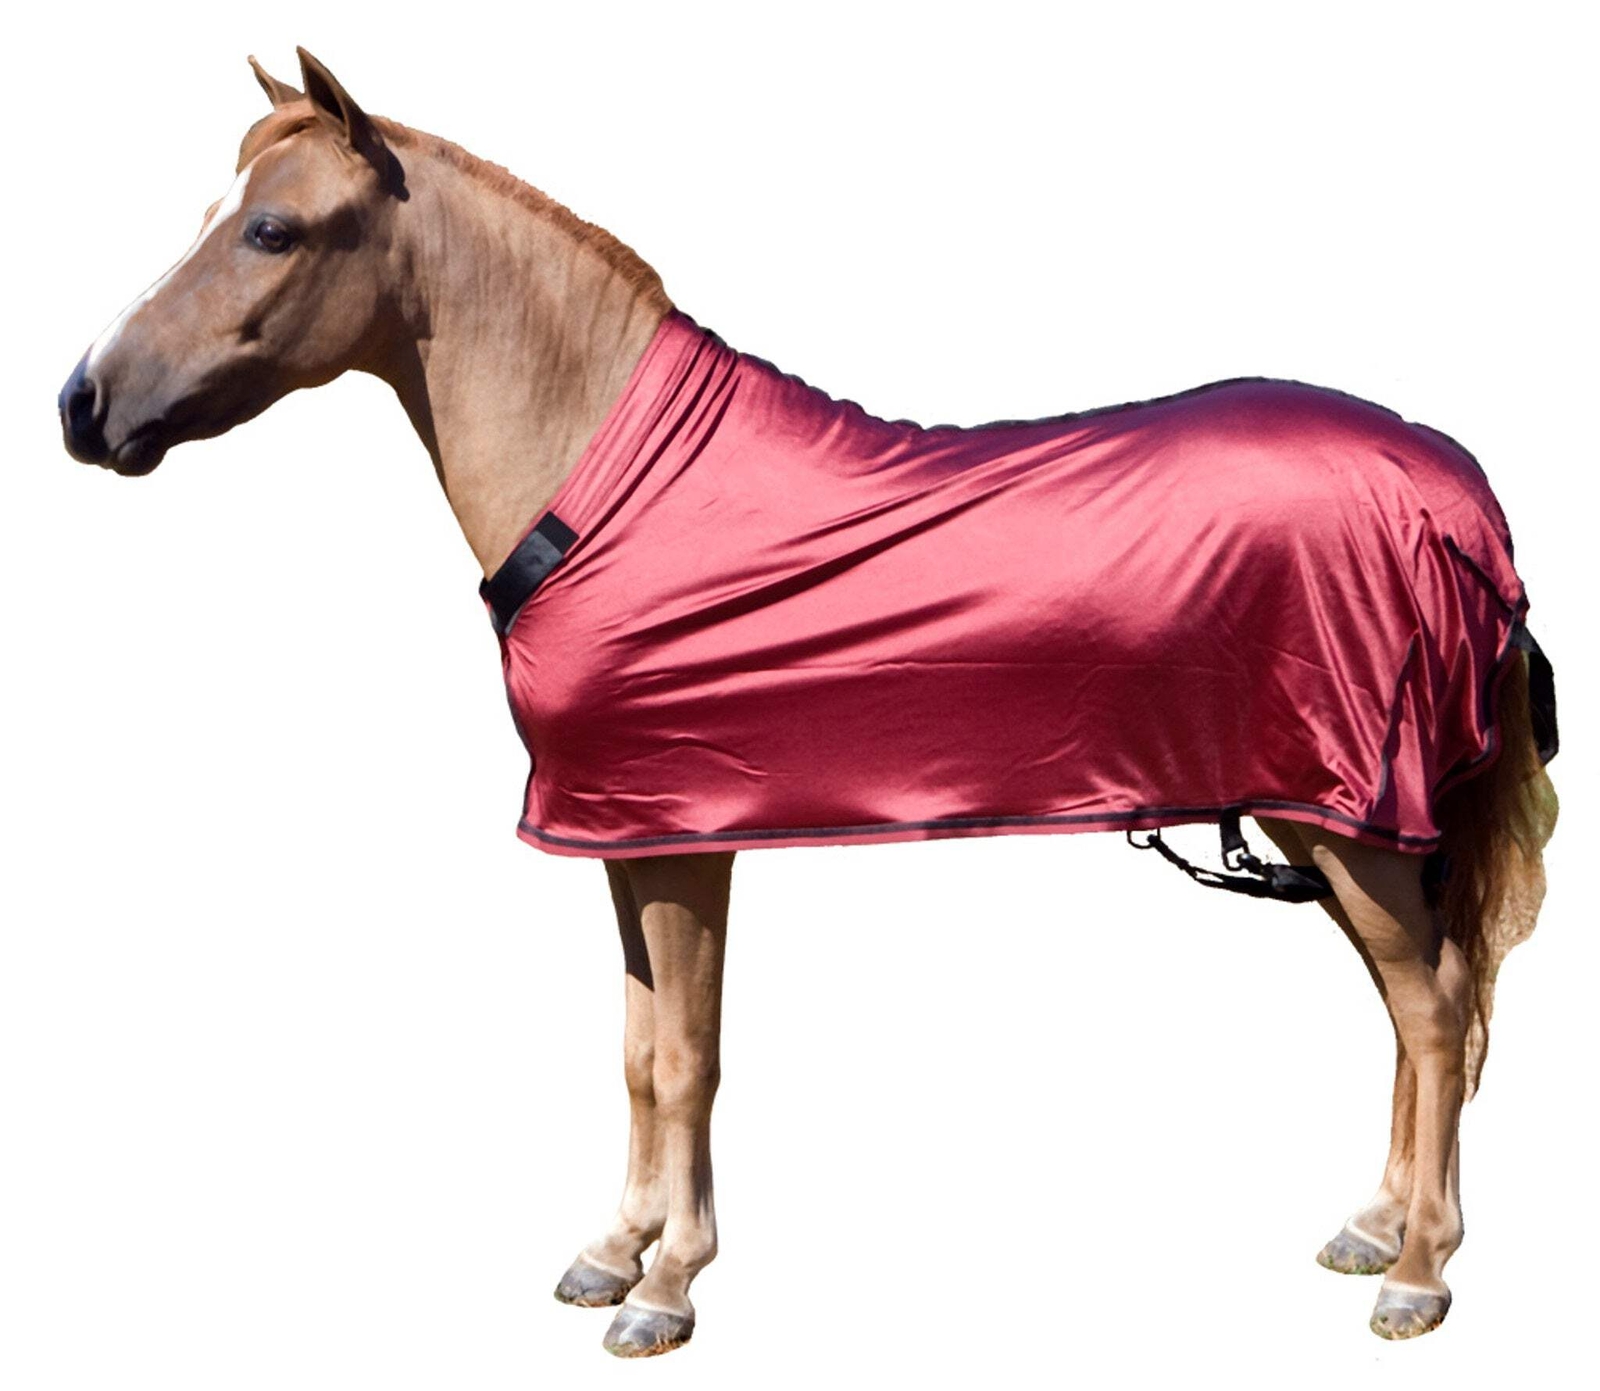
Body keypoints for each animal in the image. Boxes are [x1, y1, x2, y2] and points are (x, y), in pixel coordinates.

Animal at [58, 49, 1558, 1358]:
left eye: (271, 229)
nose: (83, 402)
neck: (609, 490)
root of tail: (1452, 493)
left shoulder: (685, 840)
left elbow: (686, 1058)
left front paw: (665, 1287)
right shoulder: (624, 836)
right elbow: (636, 1049)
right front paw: (613, 1250)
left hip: (1344, 817)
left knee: (1432, 1008)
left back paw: (1419, 1272)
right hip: (1337, 824)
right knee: (1417, 1003)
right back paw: (1376, 1229)